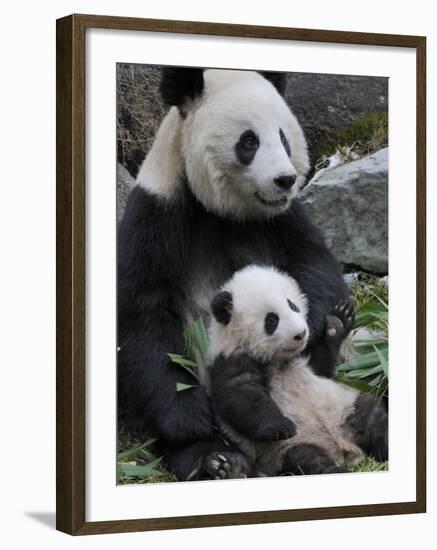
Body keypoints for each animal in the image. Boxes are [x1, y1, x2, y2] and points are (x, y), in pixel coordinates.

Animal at [116, 68, 350, 484]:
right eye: (249, 141)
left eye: (284, 136)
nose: (285, 179)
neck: (223, 209)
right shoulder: (158, 210)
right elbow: (143, 314)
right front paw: (190, 421)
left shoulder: (283, 217)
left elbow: (314, 262)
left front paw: (319, 325)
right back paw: (219, 461)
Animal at [208, 268, 388, 478]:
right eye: (272, 320)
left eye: (292, 305)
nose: (301, 333)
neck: (277, 358)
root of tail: (343, 450)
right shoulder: (230, 358)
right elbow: (242, 396)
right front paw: (281, 426)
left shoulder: (308, 362)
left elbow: (323, 368)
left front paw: (337, 323)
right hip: (290, 450)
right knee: (311, 462)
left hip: (346, 406)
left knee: (374, 421)